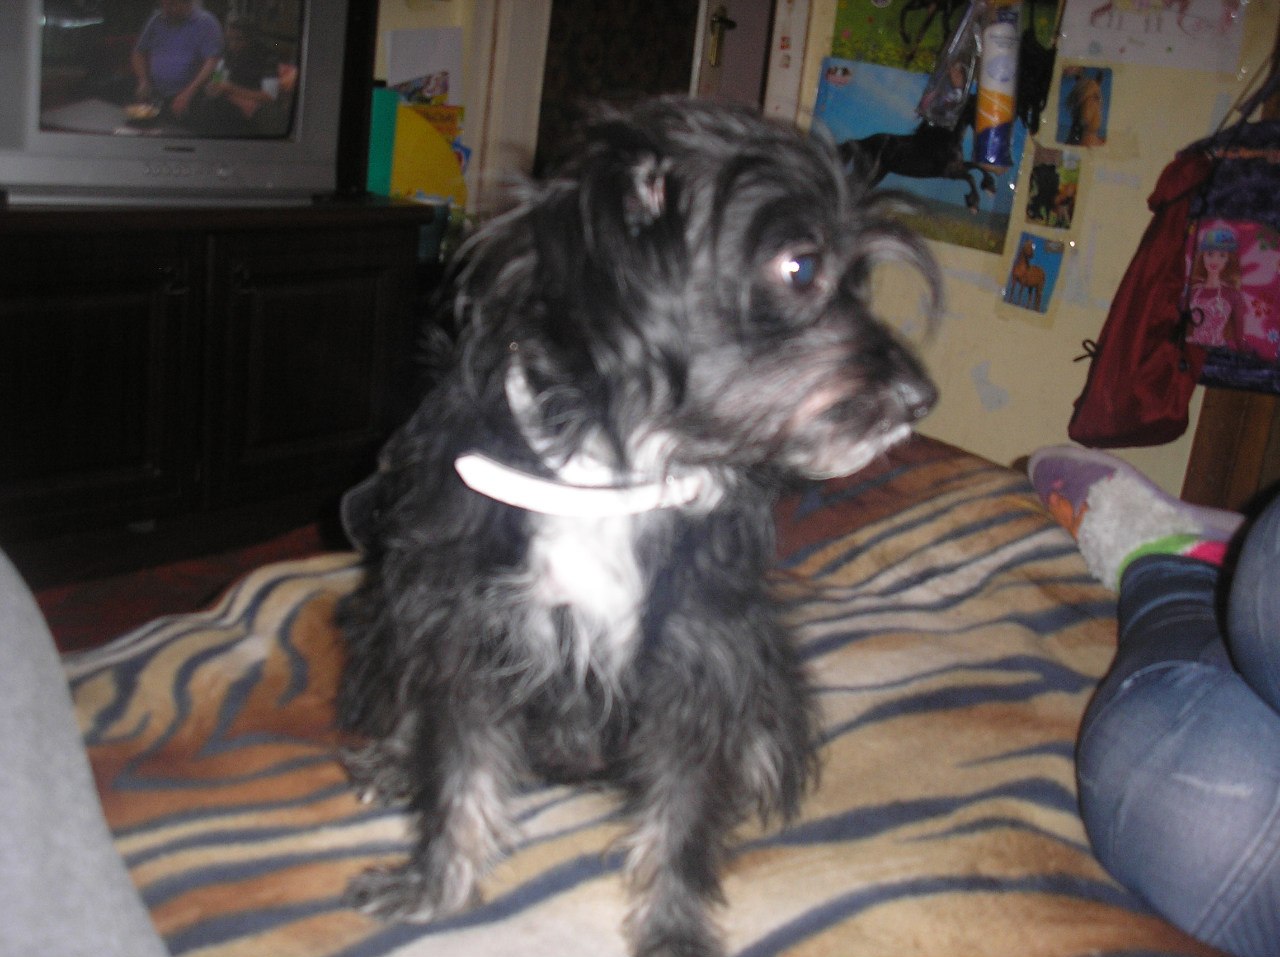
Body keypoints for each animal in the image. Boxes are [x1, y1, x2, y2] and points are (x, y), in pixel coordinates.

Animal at [335, 95, 941, 957]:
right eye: (801, 266)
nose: (921, 399)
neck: (611, 476)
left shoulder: (700, 656)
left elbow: (681, 814)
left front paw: (674, 925)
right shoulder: (472, 629)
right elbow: (459, 772)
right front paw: (434, 886)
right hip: (391, 604)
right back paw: (392, 758)